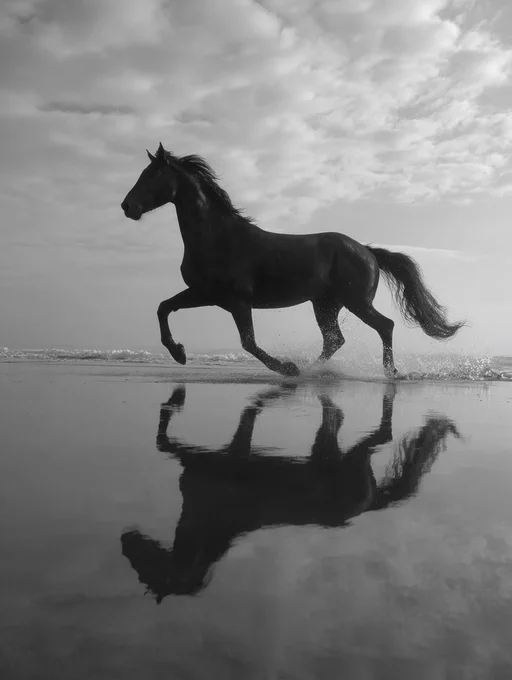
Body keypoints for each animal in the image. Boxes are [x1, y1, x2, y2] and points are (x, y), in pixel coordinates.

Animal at [121, 143, 465, 377]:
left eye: (152, 174)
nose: (127, 206)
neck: (218, 238)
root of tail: (367, 251)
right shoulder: (205, 294)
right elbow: (164, 307)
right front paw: (178, 353)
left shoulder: (236, 300)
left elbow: (248, 343)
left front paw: (286, 368)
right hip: (326, 305)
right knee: (334, 340)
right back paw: (314, 370)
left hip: (355, 301)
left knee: (385, 326)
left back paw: (385, 373)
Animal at [121, 384, 460, 601]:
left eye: (142, 573)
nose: (125, 539)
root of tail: (369, 504)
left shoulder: (201, 461)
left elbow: (162, 441)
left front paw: (176, 399)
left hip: (350, 458)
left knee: (382, 435)